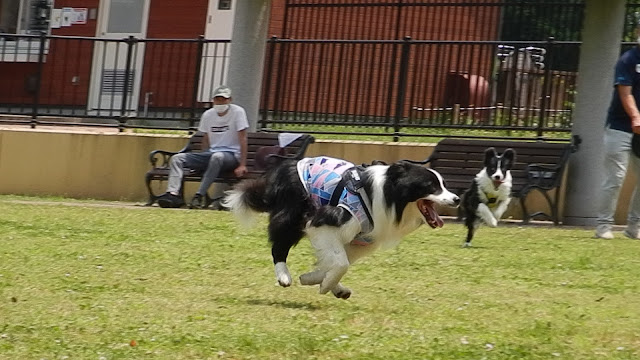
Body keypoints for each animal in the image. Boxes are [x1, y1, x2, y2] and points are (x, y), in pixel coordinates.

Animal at [221, 156, 460, 300]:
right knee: (278, 246)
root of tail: (285, 167)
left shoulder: (361, 240)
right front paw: (324, 284)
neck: (387, 194)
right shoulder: (324, 222)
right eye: (431, 186)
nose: (457, 199)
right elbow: (341, 263)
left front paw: (315, 279)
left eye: (443, 184)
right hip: (292, 217)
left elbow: (336, 262)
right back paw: (284, 277)